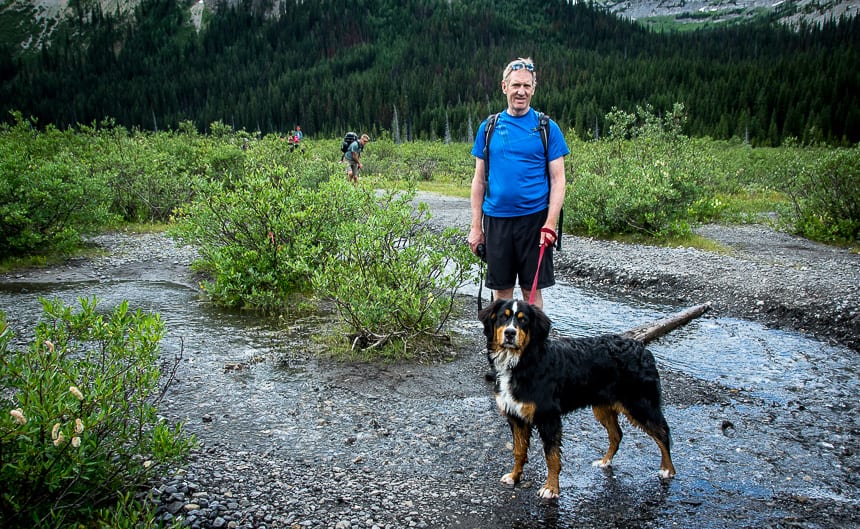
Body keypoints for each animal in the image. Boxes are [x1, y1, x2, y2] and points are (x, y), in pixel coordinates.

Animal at [480, 300, 676, 498]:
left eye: (523, 320)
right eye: (503, 317)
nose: (510, 333)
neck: (522, 362)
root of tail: (642, 349)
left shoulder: (548, 418)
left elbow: (552, 457)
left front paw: (551, 488)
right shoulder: (516, 416)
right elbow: (518, 451)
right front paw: (514, 477)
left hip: (640, 405)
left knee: (663, 433)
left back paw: (667, 470)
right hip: (603, 407)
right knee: (617, 434)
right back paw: (605, 461)